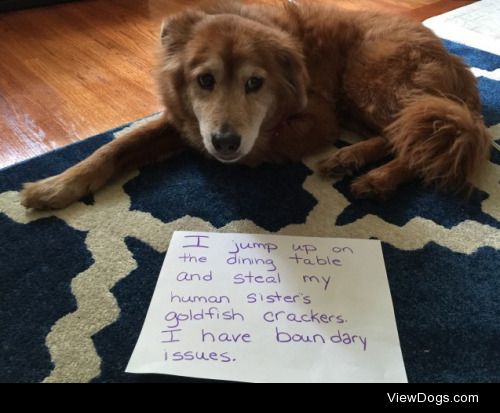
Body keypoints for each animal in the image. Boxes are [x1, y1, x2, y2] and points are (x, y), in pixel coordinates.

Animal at [19, 0, 488, 209]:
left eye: (254, 83)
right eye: (204, 80)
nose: (225, 141)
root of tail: (457, 66)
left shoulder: (319, 118)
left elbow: (259, 147)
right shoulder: (182, 118)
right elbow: (116, 146)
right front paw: (58, 185)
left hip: (367, 76)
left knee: (421, 140)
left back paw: (377, 178)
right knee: (401, 136)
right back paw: (350, 158)